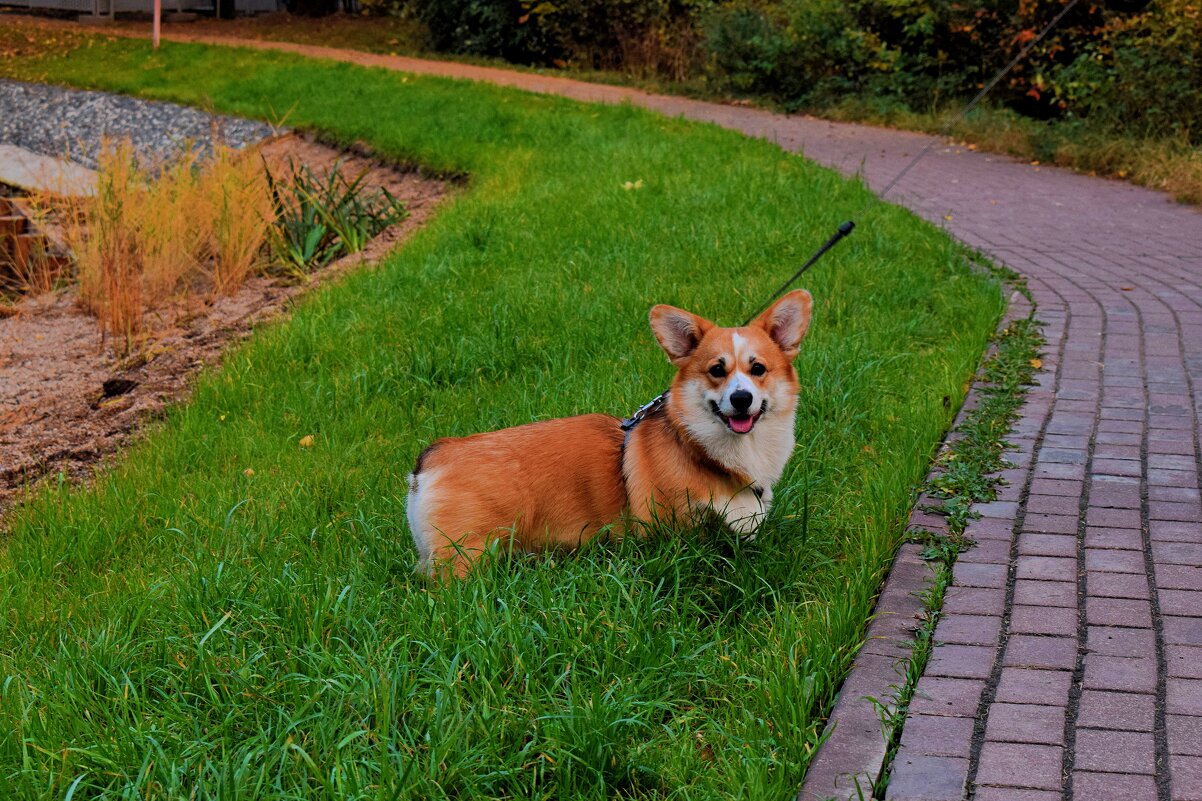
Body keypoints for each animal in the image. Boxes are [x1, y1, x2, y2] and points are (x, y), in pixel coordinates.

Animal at [408, 287, 812, 574]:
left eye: (758, 369)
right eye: (717, 370)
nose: (742, 399)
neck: (702, 451)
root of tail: (434, 456)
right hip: (470, 556)